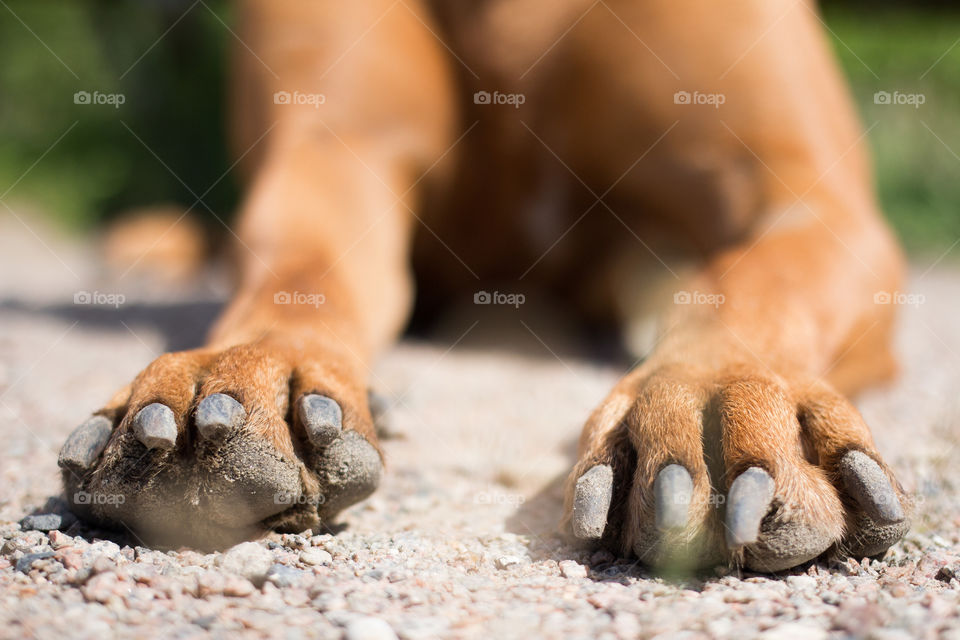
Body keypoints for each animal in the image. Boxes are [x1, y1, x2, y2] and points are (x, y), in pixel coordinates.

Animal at [60, 0, 908, 568]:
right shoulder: (337, 146)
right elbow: (301, 270)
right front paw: (239, 372)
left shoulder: (812, 198)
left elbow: (750, 277)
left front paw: (714, 394)